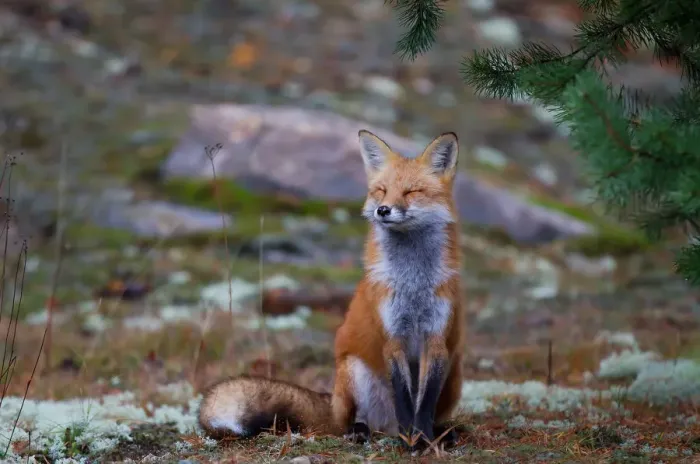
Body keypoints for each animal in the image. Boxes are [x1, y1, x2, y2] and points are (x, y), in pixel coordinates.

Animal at [198, 130, 465, 448]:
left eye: (412, 192)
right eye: (381, 190)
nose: (383, 210)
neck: (413, 283)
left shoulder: (435, 338)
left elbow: (423, 405)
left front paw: (423, 440)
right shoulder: (392, 337)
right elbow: (404, 399)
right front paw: (410, 441)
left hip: (454, 372)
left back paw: (444, 433)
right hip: (353, 371)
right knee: (353, 422)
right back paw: (363, 431)